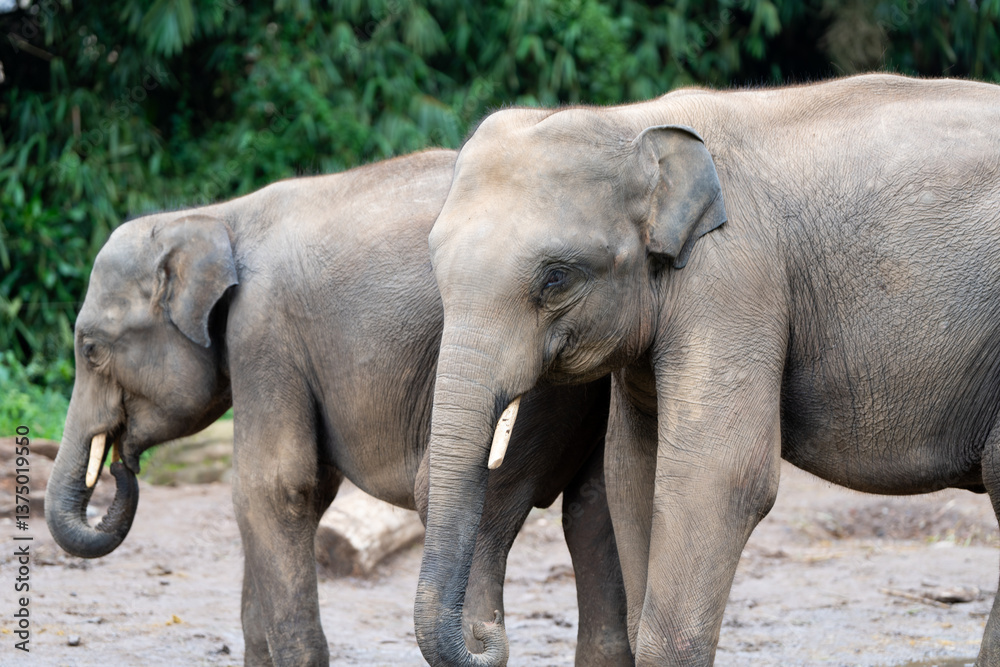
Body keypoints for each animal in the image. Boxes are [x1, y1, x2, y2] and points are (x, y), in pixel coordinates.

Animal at [43, 148, 633, 666]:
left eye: (91, 349)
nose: (123, 462)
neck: (217, 217)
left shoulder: (264, 333)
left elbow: (273, 488)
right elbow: (299, 492)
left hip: (530, 374)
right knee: (594, 514)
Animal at [413, 73, 1000, 666]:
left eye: (557, 278)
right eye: (434, 263)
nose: (486, 633)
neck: (635, 122)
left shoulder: (734, 277)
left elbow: (720, 473)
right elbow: (630, 470)